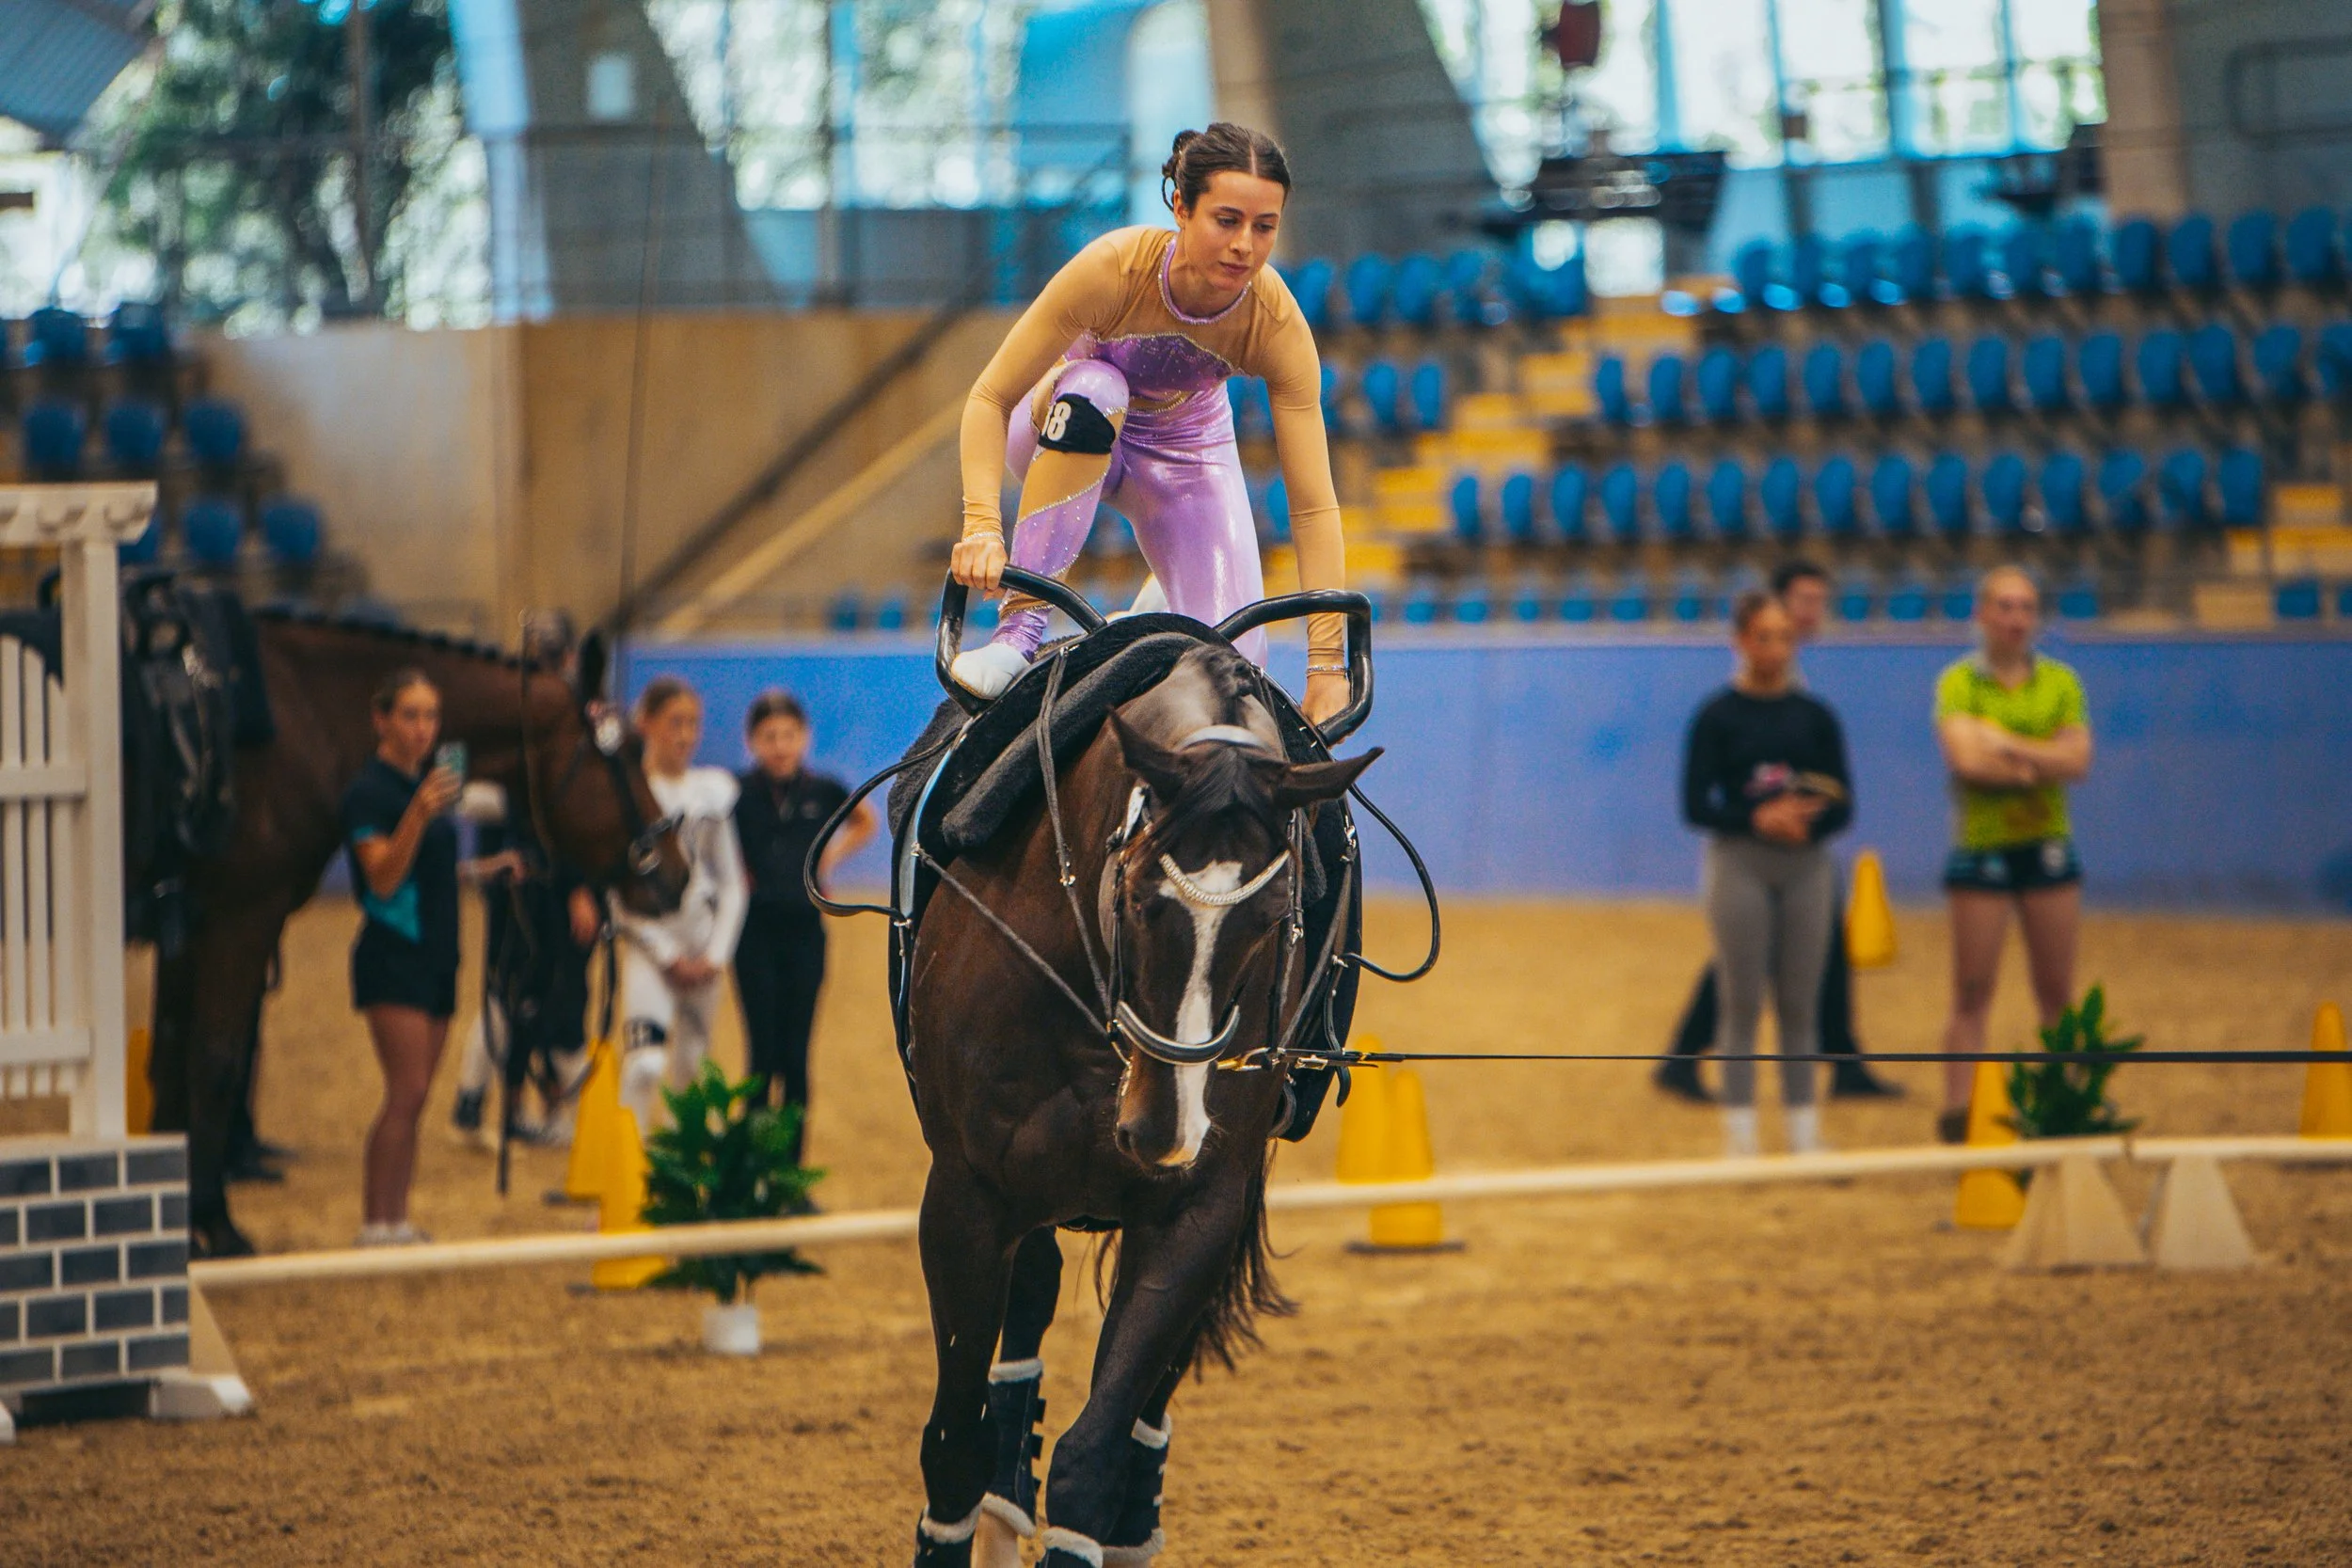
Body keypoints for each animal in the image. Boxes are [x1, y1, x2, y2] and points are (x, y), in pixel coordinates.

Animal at [146, 613, 690, 1258]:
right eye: (627, 752)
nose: (677, 873)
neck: (299, 717)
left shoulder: (189, 922)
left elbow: (169, 1058)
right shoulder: (240, 915)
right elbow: (215, 1061)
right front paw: (218, 1226)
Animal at [903, 642, 1376, 1567]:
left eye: (1276, 916)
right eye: (1134, 896)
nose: (1163, 1128)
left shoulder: (1196, 1208)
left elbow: (1095, 1453)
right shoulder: (966, 1196)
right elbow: (951, 1444)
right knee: (1031, 1299)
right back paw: (1006, 1497)